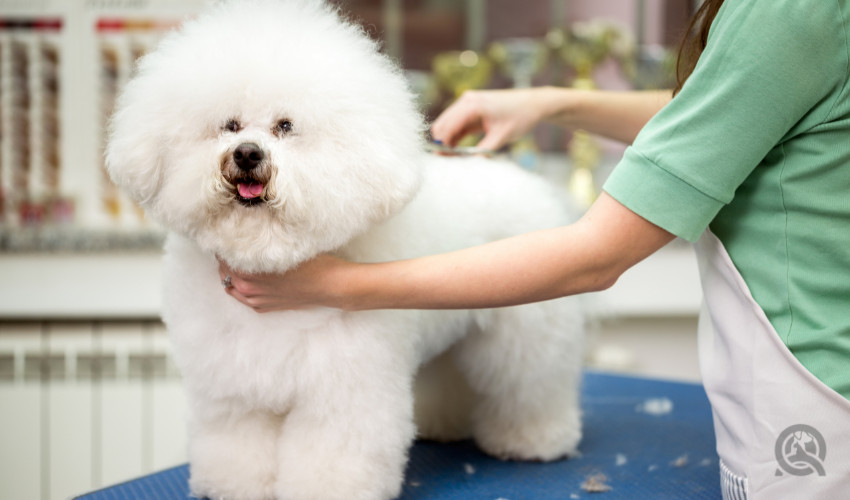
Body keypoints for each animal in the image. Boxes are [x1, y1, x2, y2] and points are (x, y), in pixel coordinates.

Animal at [104, 0, 584, 500]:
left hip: (526, 337)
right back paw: (443, 424)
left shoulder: (344, 390)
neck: (269, 255)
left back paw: (534, 441)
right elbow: (237, 443)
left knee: (530, 387)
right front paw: (234, 486)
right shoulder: (232, 388)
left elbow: (334, 451)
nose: (247, 153)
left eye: (285, 126)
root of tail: (524, 180)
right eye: (230, 125)